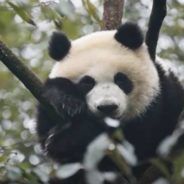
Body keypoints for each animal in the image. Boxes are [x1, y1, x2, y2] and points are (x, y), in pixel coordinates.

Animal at [36, 23, 184, 184]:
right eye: (87, 83)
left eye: (120, 79)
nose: (107, 107)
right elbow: (44, 129)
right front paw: (68, 102)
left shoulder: (158, 101)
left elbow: (137, 142)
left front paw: (68, 136)